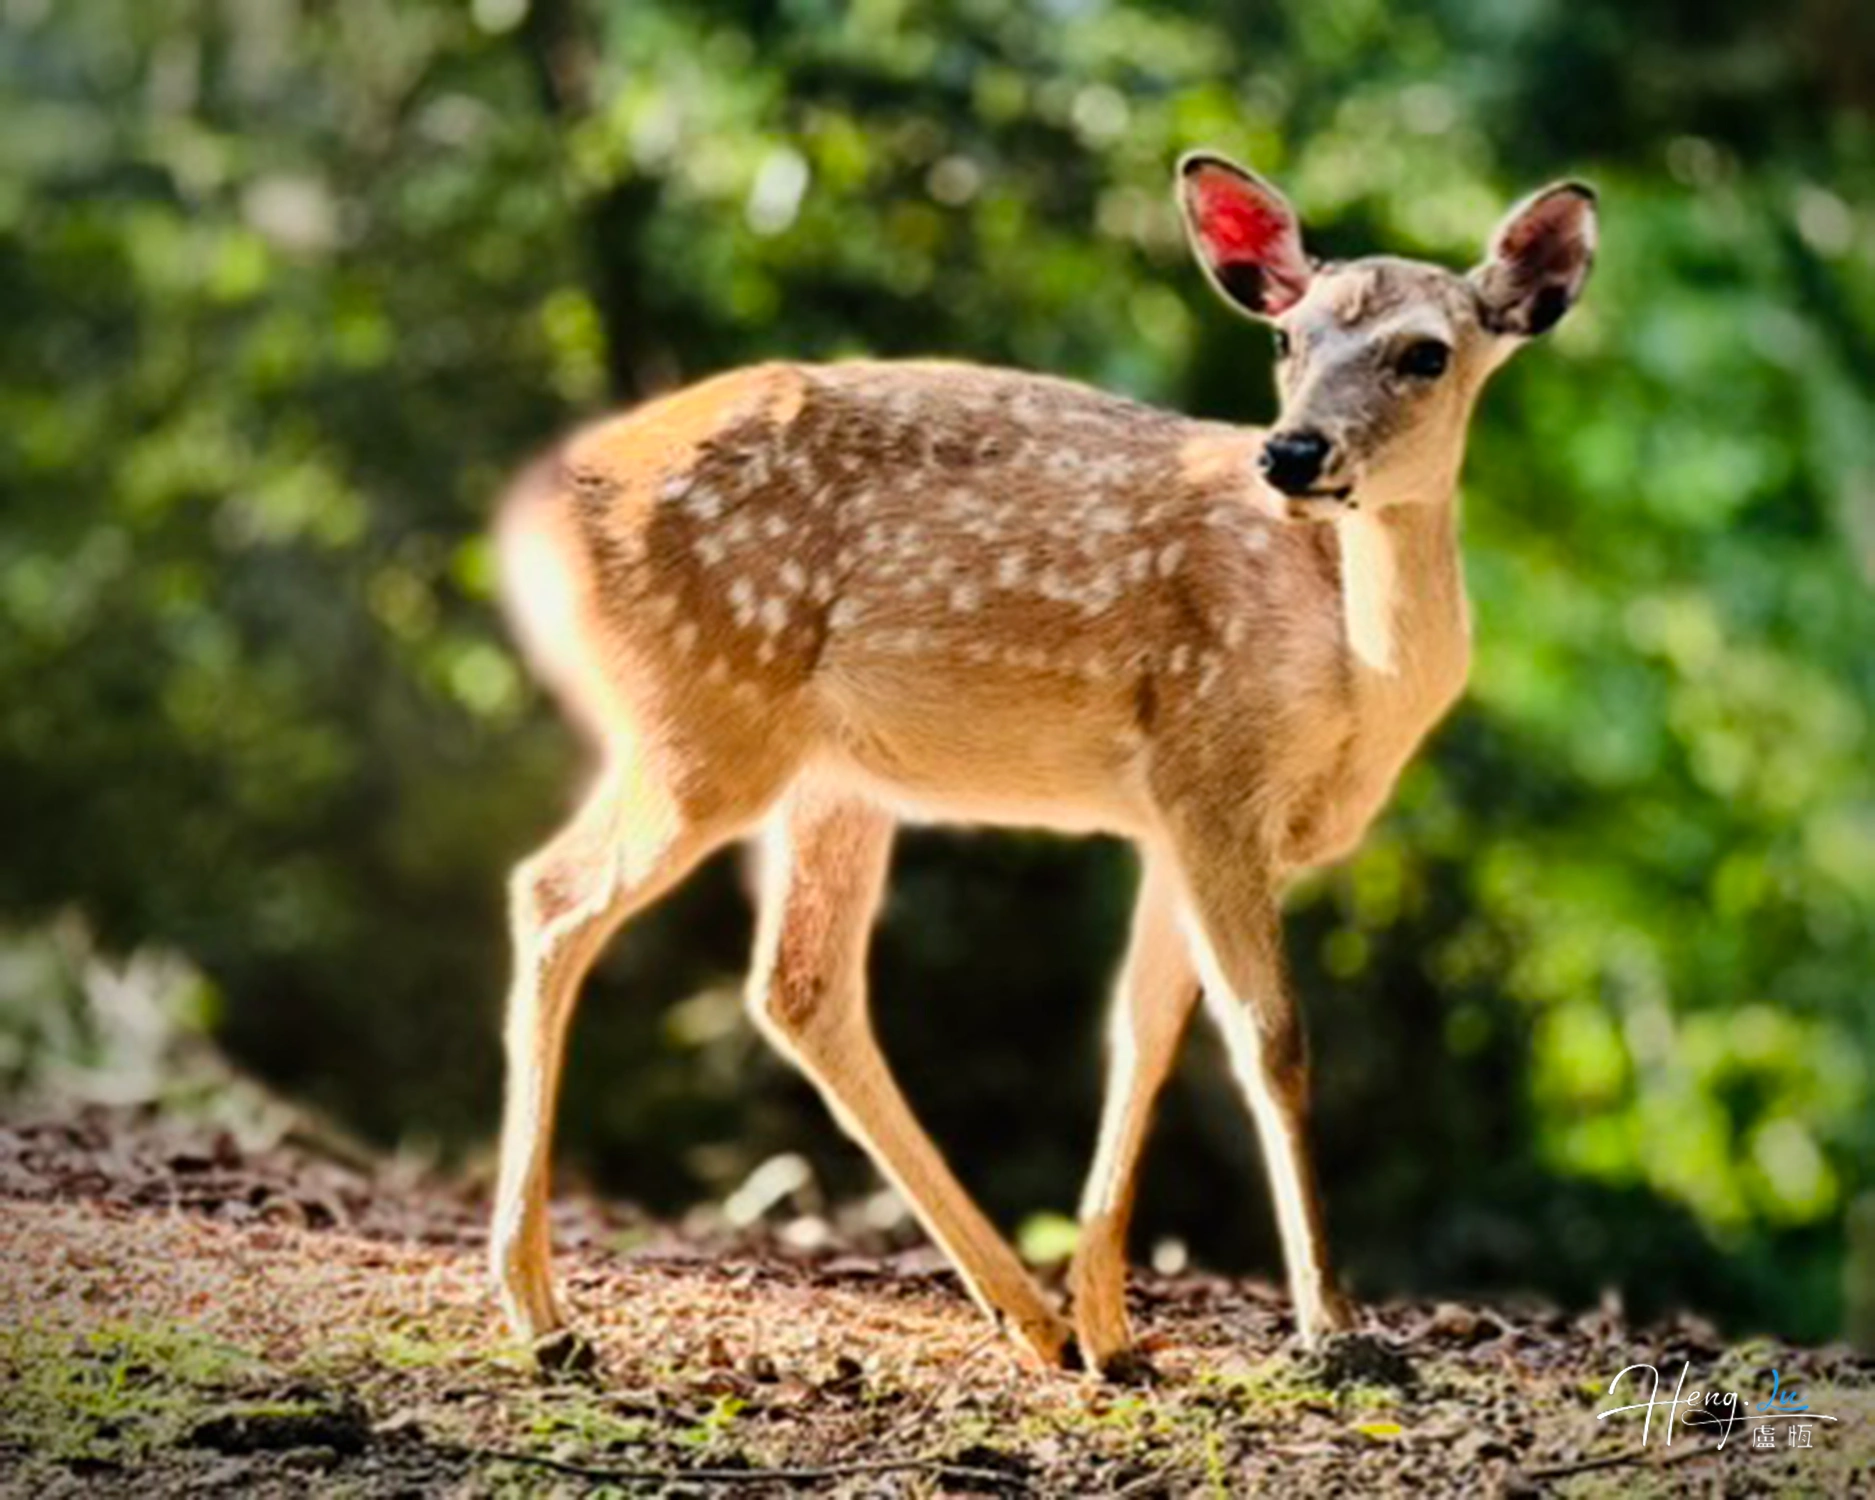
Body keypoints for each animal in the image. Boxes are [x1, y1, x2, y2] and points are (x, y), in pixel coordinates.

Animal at [487, 149, 1597, 1379]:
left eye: (1425, 353)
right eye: (1285, 339)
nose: (1292, 452)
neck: (1354, 678)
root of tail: (537, 507)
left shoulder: (1174, 817)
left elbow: (1142, 1036)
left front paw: (1116, 1330)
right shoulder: (1211, 769)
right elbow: (1271, 1038)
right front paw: (1335, 1329)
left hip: (830, 772)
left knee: (798, 983)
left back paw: (1034, 1317)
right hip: (704, 715)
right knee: (553, 892)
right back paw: (539, 1312)